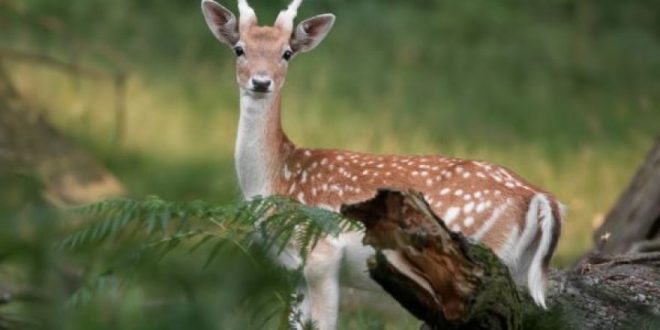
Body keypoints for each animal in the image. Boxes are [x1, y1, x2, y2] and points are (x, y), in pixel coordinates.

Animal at [201, 1, 564, 328]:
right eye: (239, 49)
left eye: (287, 53)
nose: (261, 82)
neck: (276, 177)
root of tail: (540, 197)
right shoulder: (293, 269)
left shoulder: (321, 253)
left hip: (482, 259)